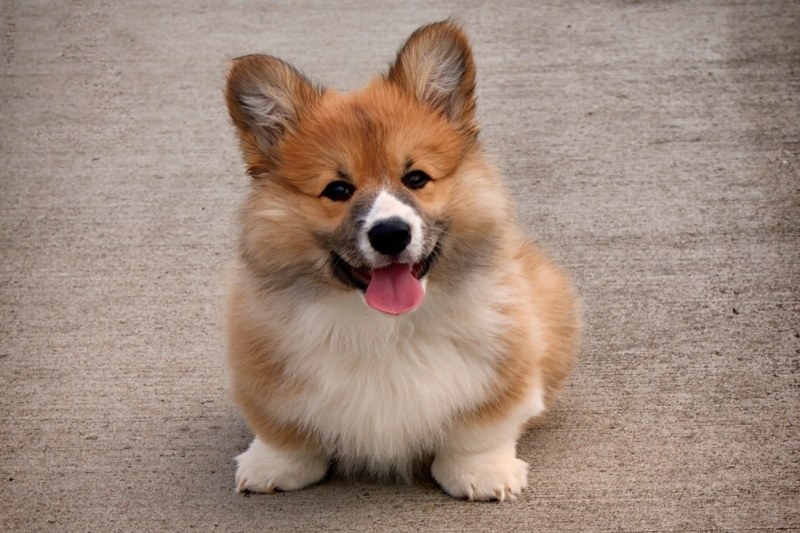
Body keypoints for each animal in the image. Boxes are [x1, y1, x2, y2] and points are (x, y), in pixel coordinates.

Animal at [222, 20, 580, 500]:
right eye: (337, 189)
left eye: (416, 178)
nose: (390, 233)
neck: (385, 328)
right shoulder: (261, 370)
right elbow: (283, 431)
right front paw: (272, 466)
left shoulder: (508, 363)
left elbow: (481, 428)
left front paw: (481, 472)